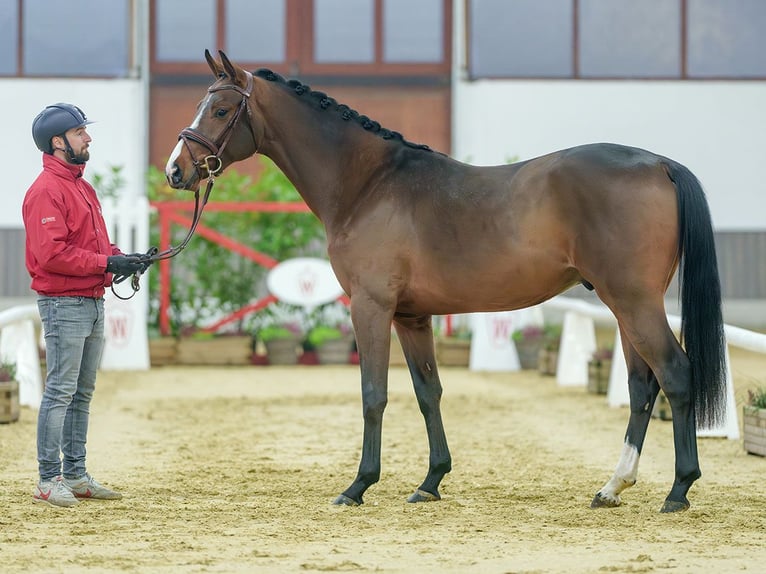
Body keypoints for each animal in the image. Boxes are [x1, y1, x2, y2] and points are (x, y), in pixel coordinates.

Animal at [165, 51, 728, 516]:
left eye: (220, 110)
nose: (175, 171)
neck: (368, 184)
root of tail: (660, 164)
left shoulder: (370, 307)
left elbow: (374, 393)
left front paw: (358, 486)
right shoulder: (412, 316)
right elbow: (427, 391)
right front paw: (431, 481)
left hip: (633, 302)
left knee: (675, 374)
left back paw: (678, 490)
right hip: (625, 305)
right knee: (641, 385)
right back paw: (613, 487)